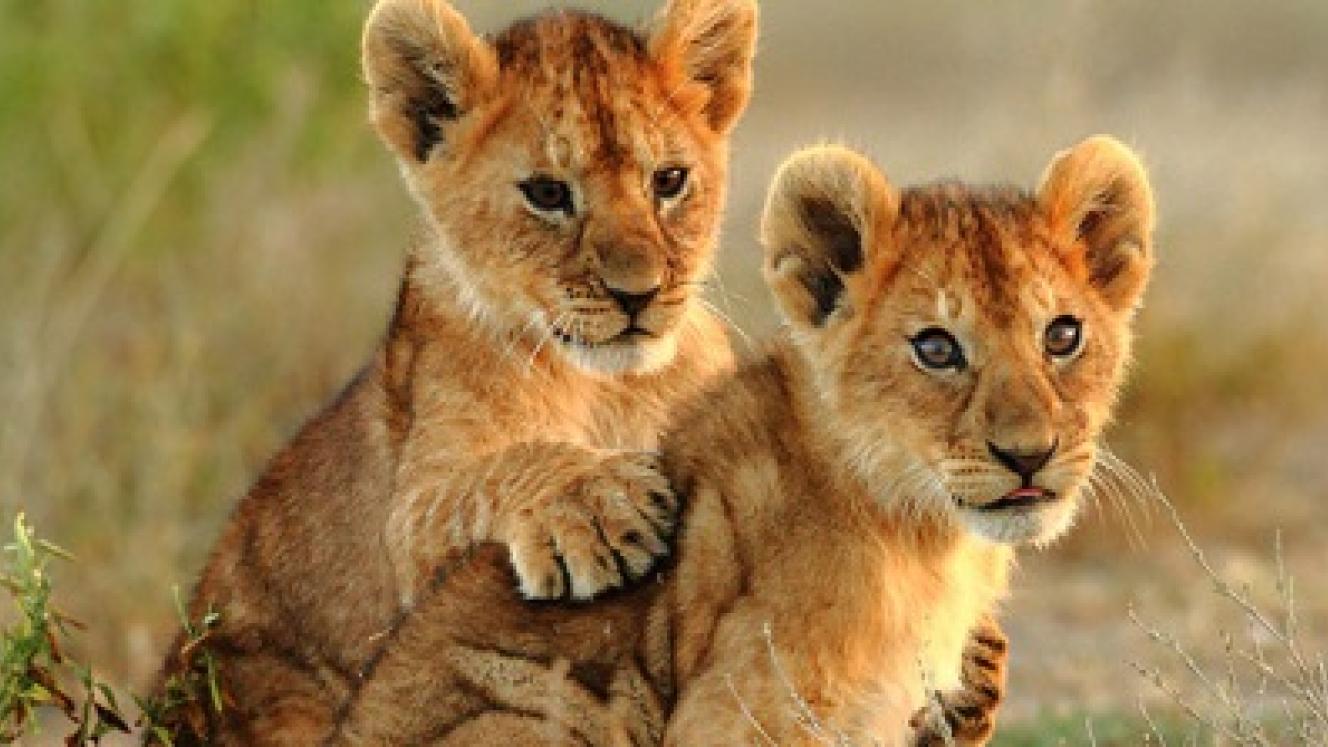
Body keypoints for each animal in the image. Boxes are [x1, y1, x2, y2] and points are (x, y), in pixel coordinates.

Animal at [156, 0, 758, 742]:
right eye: (548, 193)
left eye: (669, 181)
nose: (638, 293)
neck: (612, 384)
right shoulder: (410, 523)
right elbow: (489, 476)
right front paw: (596, 500)